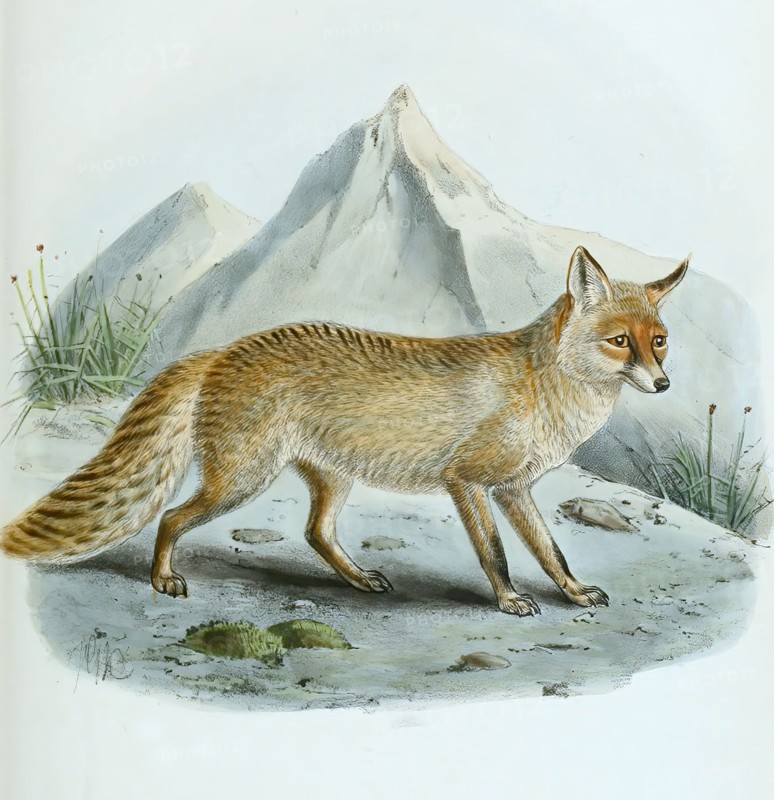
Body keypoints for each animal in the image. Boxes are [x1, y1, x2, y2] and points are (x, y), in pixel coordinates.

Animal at [1, 246, 688, 615]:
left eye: (658, 342)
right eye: (619, 343)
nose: (663, 386)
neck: (545, 391)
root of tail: (224, 350)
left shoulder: (516, 489)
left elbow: (551, 551)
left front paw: (572, 593)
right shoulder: (467, 482)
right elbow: (494, 553)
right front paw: (508, 600)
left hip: (328, 480)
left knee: (315, 533)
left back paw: (358, 580)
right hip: (242, 480)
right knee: (170, 516)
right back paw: (162, 579)